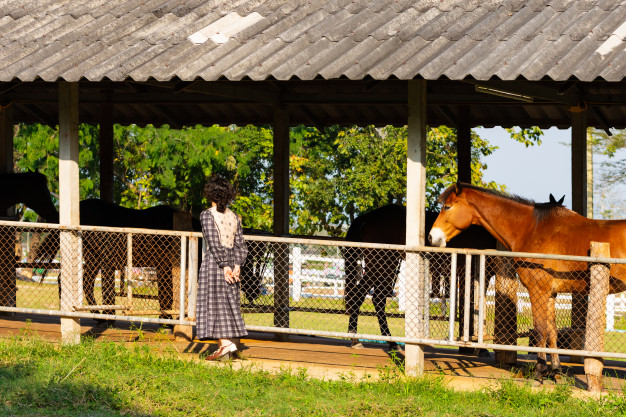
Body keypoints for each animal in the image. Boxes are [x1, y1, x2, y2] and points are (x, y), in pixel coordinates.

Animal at [342, 203, 498, 350]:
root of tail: (367, 217)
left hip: (387, 267)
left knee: (377, 299)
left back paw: (390, 342)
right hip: (380, 265)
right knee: (359, 296)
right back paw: (356, 339)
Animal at [426, 182, 624, 376]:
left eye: (447, 206)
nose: (431, 237)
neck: (533, 230)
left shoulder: (538, 291)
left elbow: (539, 331)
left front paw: (539, 372)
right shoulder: (550, 294)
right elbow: (551, 331)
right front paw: (556, 370)